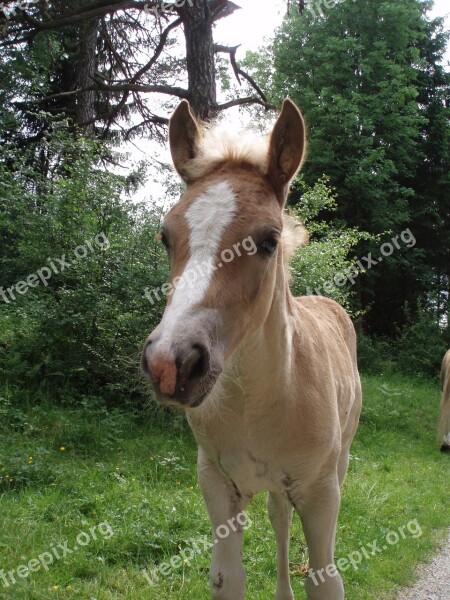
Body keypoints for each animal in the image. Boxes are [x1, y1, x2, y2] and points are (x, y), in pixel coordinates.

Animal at [142, 101, 364, 596]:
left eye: (269, 240)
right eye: (165, 236)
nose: (171, 363)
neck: (257, 402)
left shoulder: (321, 492)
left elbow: (325, 578)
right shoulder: (217, 483)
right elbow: (228, 577)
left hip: (338, 463)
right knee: (278, 515)